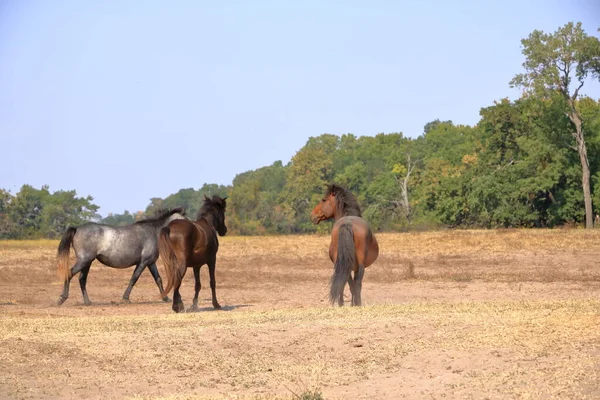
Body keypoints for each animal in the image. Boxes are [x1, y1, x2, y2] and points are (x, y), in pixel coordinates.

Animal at [56, 208, 188, 304]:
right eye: (185, 219)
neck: (153, 232)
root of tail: (77, 228)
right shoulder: (143, 263)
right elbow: (134, 278)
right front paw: (125, 298)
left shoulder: (151, 263)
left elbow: (158, 279)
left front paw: (166, 298)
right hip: (83, 261)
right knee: (70, 274)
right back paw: (62, 298)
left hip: (87, 262)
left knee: (82, 279)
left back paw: (87, 302)